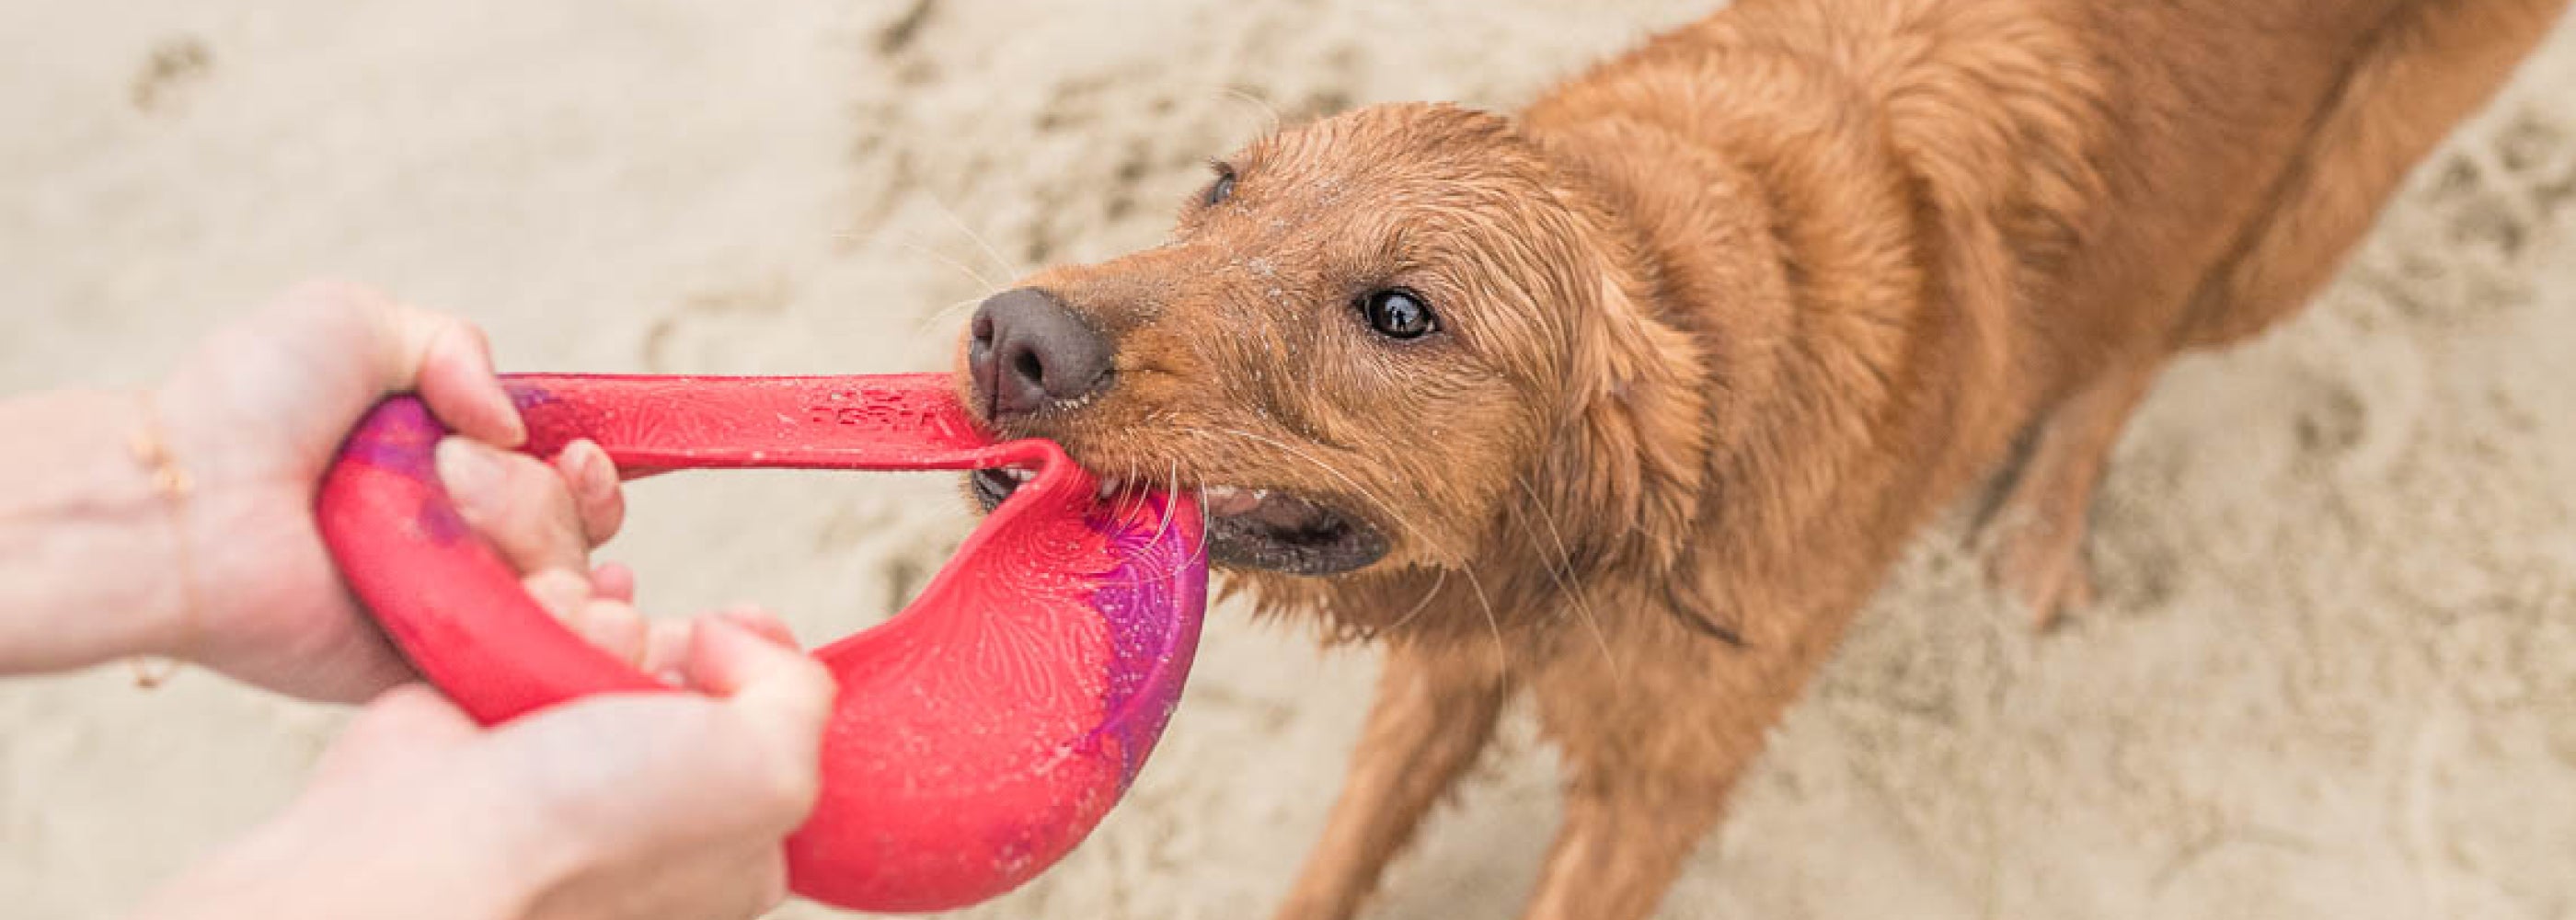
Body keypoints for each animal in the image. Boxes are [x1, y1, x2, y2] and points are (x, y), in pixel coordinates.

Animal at [958, 3, 2565, 912]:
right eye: (1222, 187)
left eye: (1404, 313)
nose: (1014, 336)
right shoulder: (1452, 665)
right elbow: (1335, 862)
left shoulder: (1662, 785)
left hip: (2307, 222)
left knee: (2140, 345)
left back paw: (2043, 525)